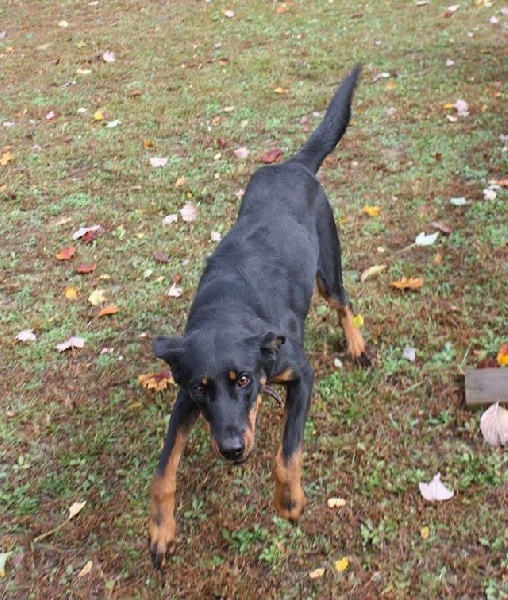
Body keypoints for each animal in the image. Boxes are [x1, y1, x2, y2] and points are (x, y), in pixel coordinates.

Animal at [149, 65, 368, 568]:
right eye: (201, 387)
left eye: (244, 379)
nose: (231, 450)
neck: (229, 308)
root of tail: (294, 164)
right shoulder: (184, 399)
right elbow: (163, 471)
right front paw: (160, 532)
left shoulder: (301, 375)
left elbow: (286, 455)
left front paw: (289, 501)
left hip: (327, 270)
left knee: (344, 302)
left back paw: (356, 345)